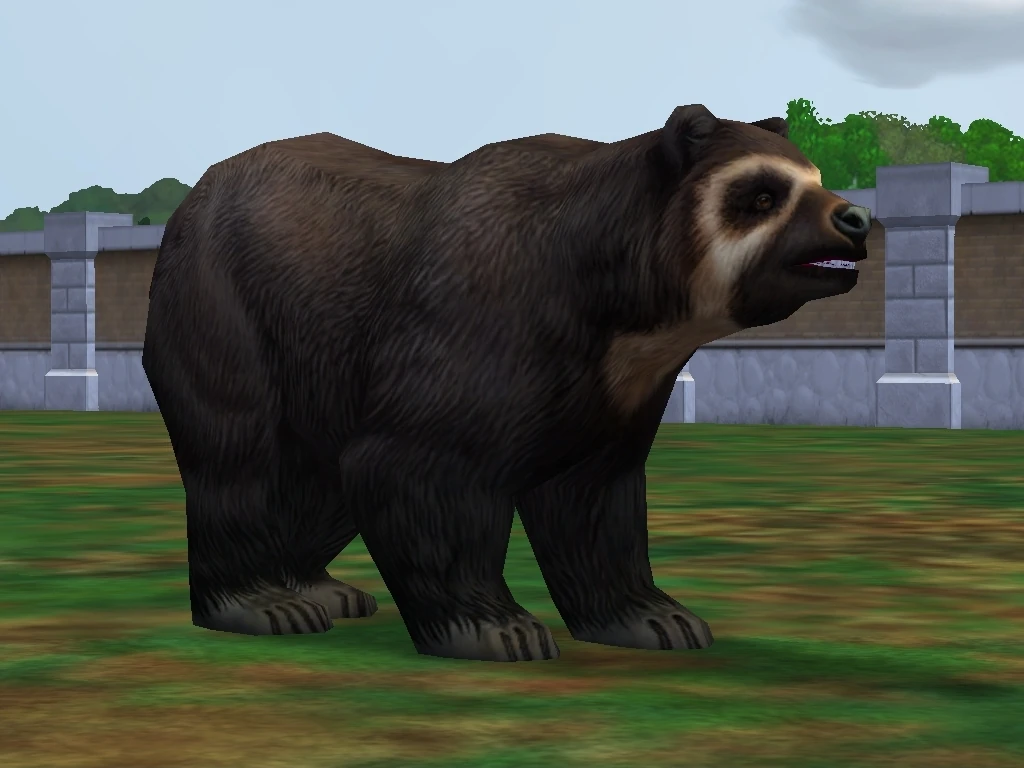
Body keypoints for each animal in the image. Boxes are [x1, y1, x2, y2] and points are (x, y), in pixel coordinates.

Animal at [142, 104, 870, 662]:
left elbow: (593, 501)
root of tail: (194, 196)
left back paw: (317, 586)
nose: (854, 218)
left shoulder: (615, 390)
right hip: (229, 311)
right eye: (763, 193)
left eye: (815, 177)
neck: (617, 308)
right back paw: (262, 601)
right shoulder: (478, 323)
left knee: (315, 480)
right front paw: (496, 627)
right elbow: (420, 468)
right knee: (240, 454)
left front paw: (657, 617)